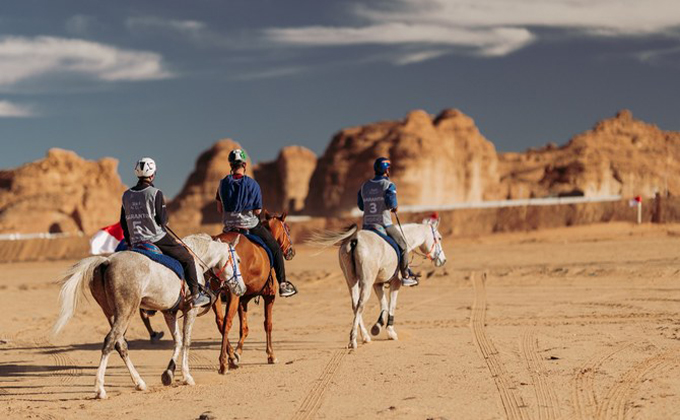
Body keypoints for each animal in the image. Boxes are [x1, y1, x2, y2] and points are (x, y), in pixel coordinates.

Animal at [53, 235, 244, 398]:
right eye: (238, 260)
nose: (241, 288)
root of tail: (107, 261)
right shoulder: (191, 310)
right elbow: (187, 341)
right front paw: (187, 376)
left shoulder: (169, 312)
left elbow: (178, 341)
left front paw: (168, 374)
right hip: (125, 311)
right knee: (110, 341)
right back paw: (100, 388)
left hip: (111, 313)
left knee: (120, 345)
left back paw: (139, 382)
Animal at [210, 212, 294, 372]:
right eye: (287, 228)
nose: (292, 251)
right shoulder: (269, 296)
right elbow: (268, 324)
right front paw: (271, 355)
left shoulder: (243, 300)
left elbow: (244, 328)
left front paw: (237, 353)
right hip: (233, 294)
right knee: (227, 322)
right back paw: (224, 362)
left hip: (216, 294)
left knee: (220, 321)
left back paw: (230, 356)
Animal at [308, 217, 446, 348]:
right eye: (439, 238)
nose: (443, 260)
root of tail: (355, 239)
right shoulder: (395, 283)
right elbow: (391, 305)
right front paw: (390, 332)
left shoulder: (377, 284)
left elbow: (384, 305)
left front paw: (378, 326)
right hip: (366, 282)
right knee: (360, 304)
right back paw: (353, 340)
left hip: (351, 280)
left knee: (355, 305)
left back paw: (365, 336)